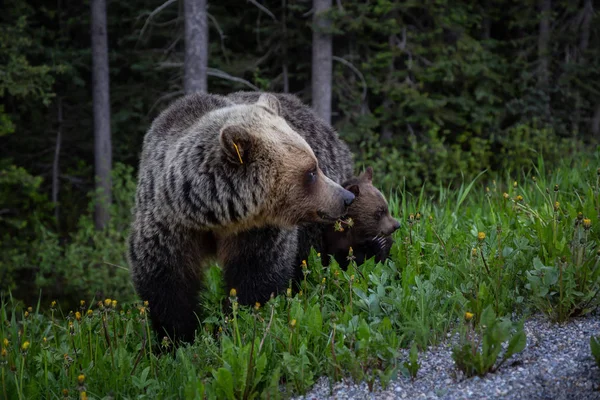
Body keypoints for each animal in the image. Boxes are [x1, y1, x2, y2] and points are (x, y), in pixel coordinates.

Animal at [128, 92, 354, 342]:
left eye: (315, 164)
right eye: (311, 172)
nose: (346, 197)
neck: (214, 215)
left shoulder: (257, 230)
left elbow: (257, 274)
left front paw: (239, 321)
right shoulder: (169, 224)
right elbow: (167, 282)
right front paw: (177, 336)